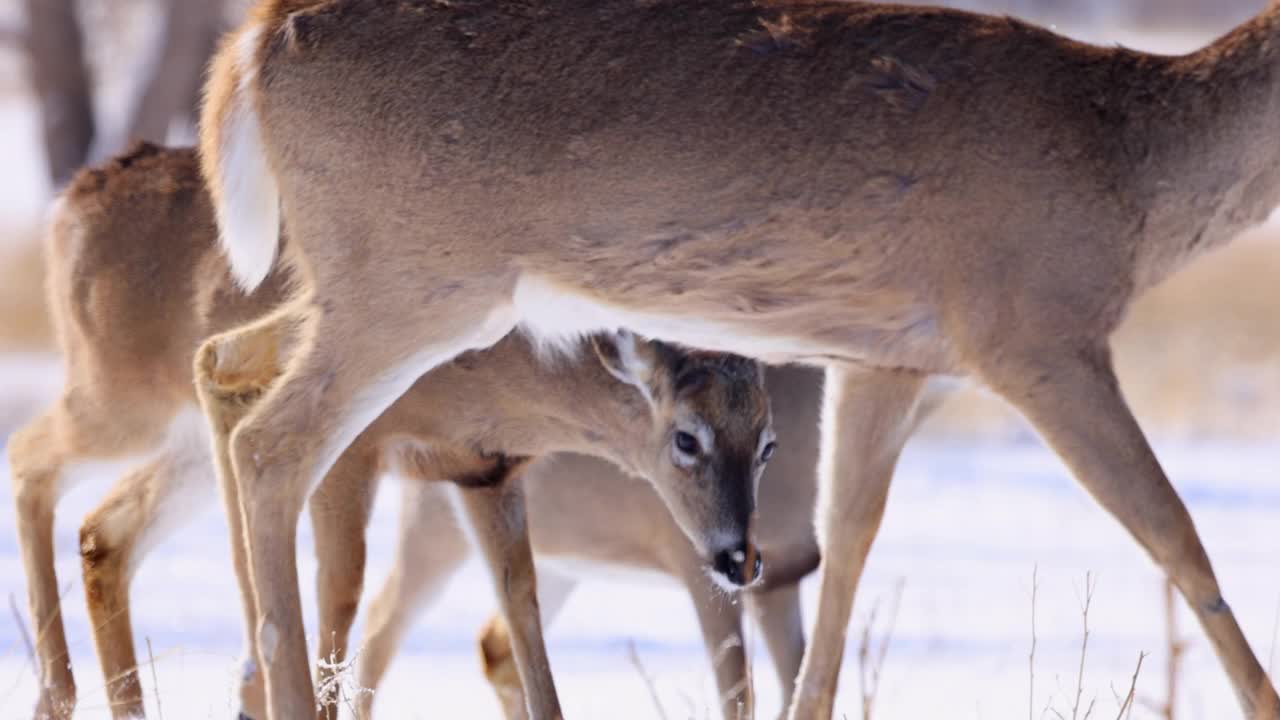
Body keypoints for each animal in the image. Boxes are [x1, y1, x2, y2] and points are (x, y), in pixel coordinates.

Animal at [202, 0, 1280, 712]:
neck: (1131, 168)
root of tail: (253, 42)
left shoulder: (886, 357)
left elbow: (843, 552)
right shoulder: (1037, 331)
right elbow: (1175, 532)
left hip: (368, 290)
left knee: (223, 361)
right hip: (409, 281)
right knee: (274, 446)